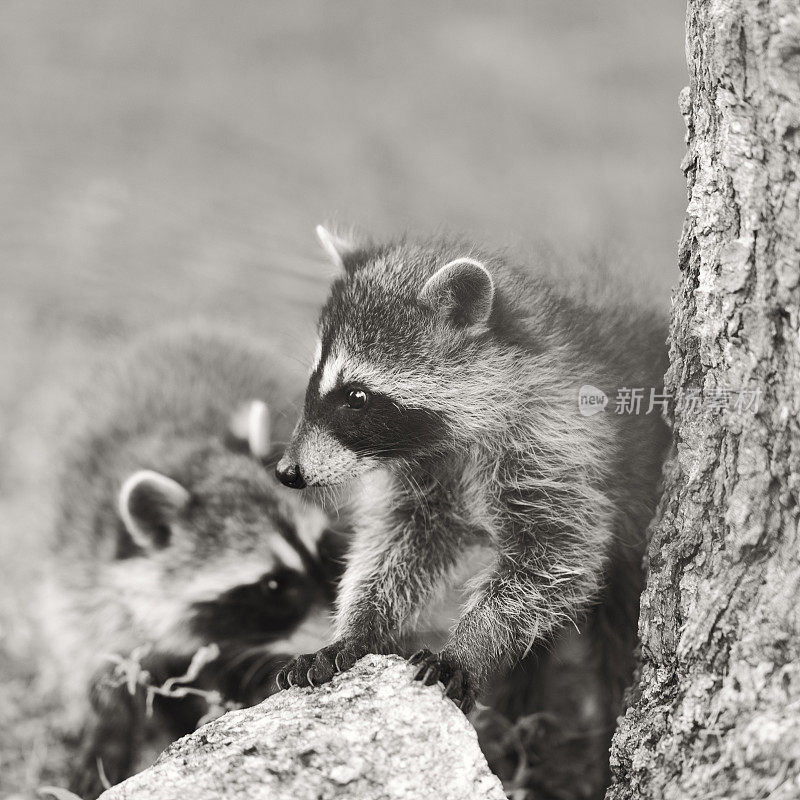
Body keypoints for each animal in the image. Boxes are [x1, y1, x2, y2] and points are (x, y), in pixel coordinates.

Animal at [41, 326, 340, 800]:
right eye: (272, 586)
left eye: (323, 550)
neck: (181, 454)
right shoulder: (80, 566)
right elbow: (95, 653)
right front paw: (107, 732)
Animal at [276, 230, 668, 792]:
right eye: (314, 385)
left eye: (356, 396)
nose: (287, 472)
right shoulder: (427, 476)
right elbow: (400, 547)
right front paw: (356, 629)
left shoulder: (562, 450)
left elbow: (551, 562)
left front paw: (471, 644)